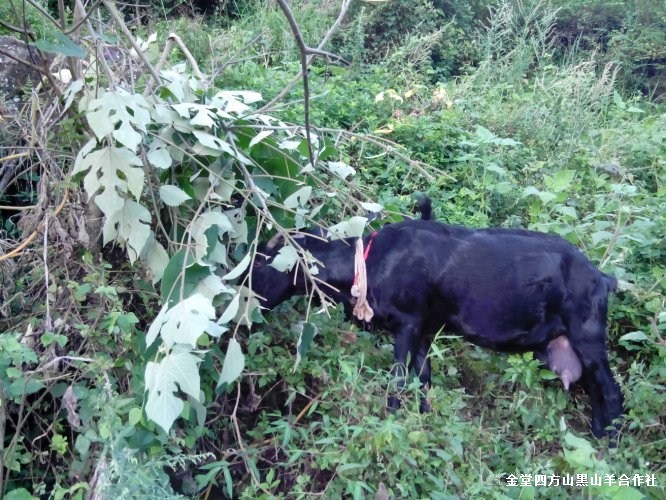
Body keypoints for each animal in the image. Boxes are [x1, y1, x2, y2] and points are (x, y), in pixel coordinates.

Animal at [246, 201, 620, 436]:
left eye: (264, 260)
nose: (245, 297)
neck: (370, 263)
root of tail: (602, 278)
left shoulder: (408, 323)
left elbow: (398, 378)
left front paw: (392, 416)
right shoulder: (426, 331)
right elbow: (423, 378)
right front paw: (425, 415)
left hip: (587, 335)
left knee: (611, 391)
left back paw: (609, 441)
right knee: (596, 391)